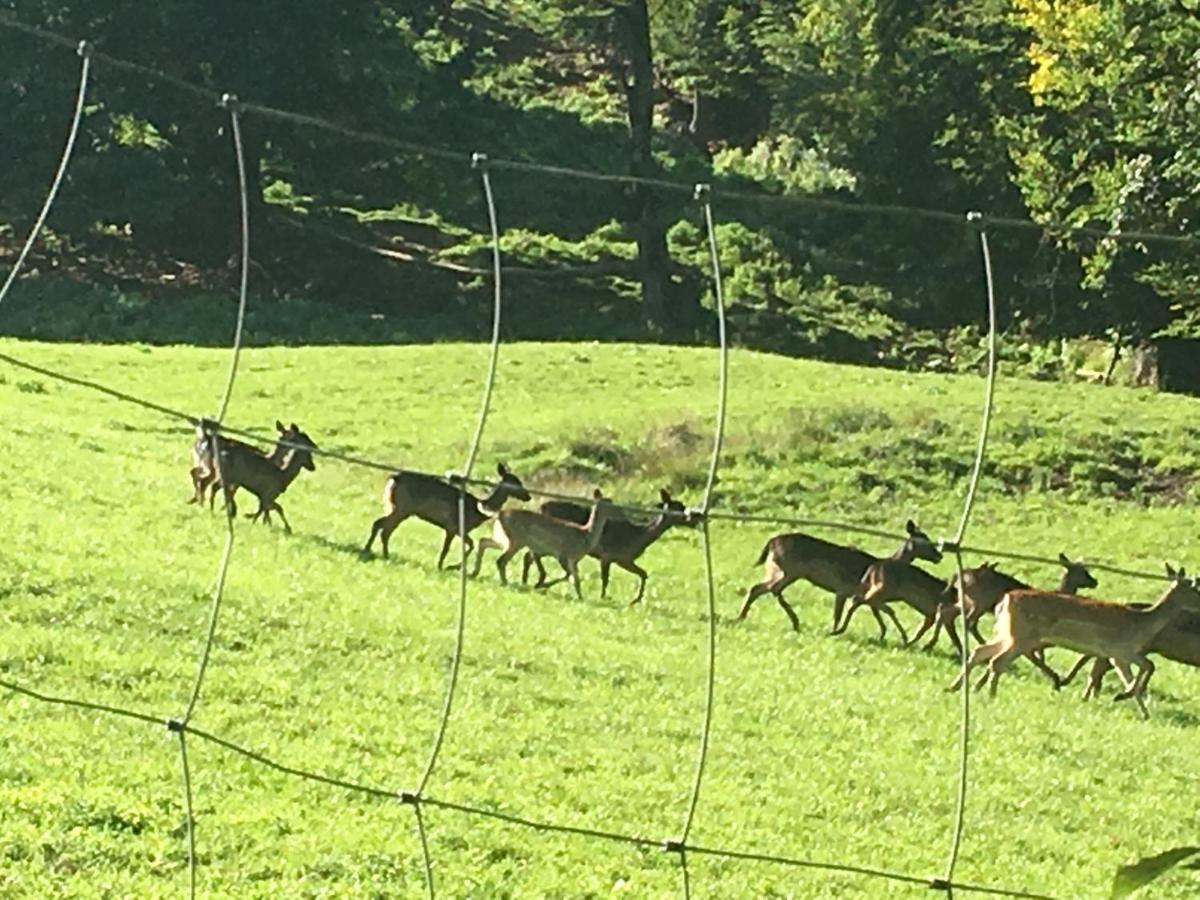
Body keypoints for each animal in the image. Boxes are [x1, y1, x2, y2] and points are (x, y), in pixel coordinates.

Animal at [360, 460, 530, 566]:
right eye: (515, 482)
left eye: (519, 481)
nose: (528, 496)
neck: (479, 509)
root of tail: (393, 478)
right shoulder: (453, 526)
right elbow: (450, 548)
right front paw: (444, 566)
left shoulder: (457, 529)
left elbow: (469, 545)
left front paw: (448, 566)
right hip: (401, 507)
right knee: (383, 528)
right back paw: (378, 552)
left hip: (397, 508)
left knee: (382, 526)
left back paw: (375, 551)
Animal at [470, 489, 614, 602]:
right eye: (610, 503)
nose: (617, 510)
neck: (586, 535)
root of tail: (499, 514)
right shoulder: (563, 554)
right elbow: (569, 576)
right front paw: (541, 585)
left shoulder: (573, 560)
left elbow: (575, 578)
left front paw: (580, 597)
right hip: (515, 540)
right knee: (501, 560)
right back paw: (505, 582)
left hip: (503, 538)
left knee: (483, 541)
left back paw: (475, 572)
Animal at [520, 487, 700, 607]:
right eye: (679, 508)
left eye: (683, 506)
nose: (694, 518)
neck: (638, 537)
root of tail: (539, 507)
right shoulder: (609, 555)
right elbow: (605, 579)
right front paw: (604, 597)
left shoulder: (624, 559)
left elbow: (643, 574)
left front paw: (635, 600)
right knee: (530, 555)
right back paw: (536, 581)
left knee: (528, 556)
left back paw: (527, 580)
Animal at [734, 518, 940, 638]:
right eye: (925, 541)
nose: (939, 556)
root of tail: (771, 542)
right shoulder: (845, 589)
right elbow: (839, 614)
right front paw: (834, 631)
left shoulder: (855, 592)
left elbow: (873, 611)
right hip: (789, 569)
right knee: (771, 589)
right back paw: (793, 621)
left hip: (778, 569)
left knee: (759, 588)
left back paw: (743, 616)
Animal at [945, 566, 1200, 724]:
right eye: (1194, 588)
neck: (1142, 624)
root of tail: (1005, 601)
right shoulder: (1120, 649)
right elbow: (1148, 667)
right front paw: (1123, 697)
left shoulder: (1117, 655)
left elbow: (1133, 678)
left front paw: (1141, 711)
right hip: (1022, 636)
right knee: (997, 661)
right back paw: (990, 694)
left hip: (1008, 633)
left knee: (980, 652)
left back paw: (957, 687)